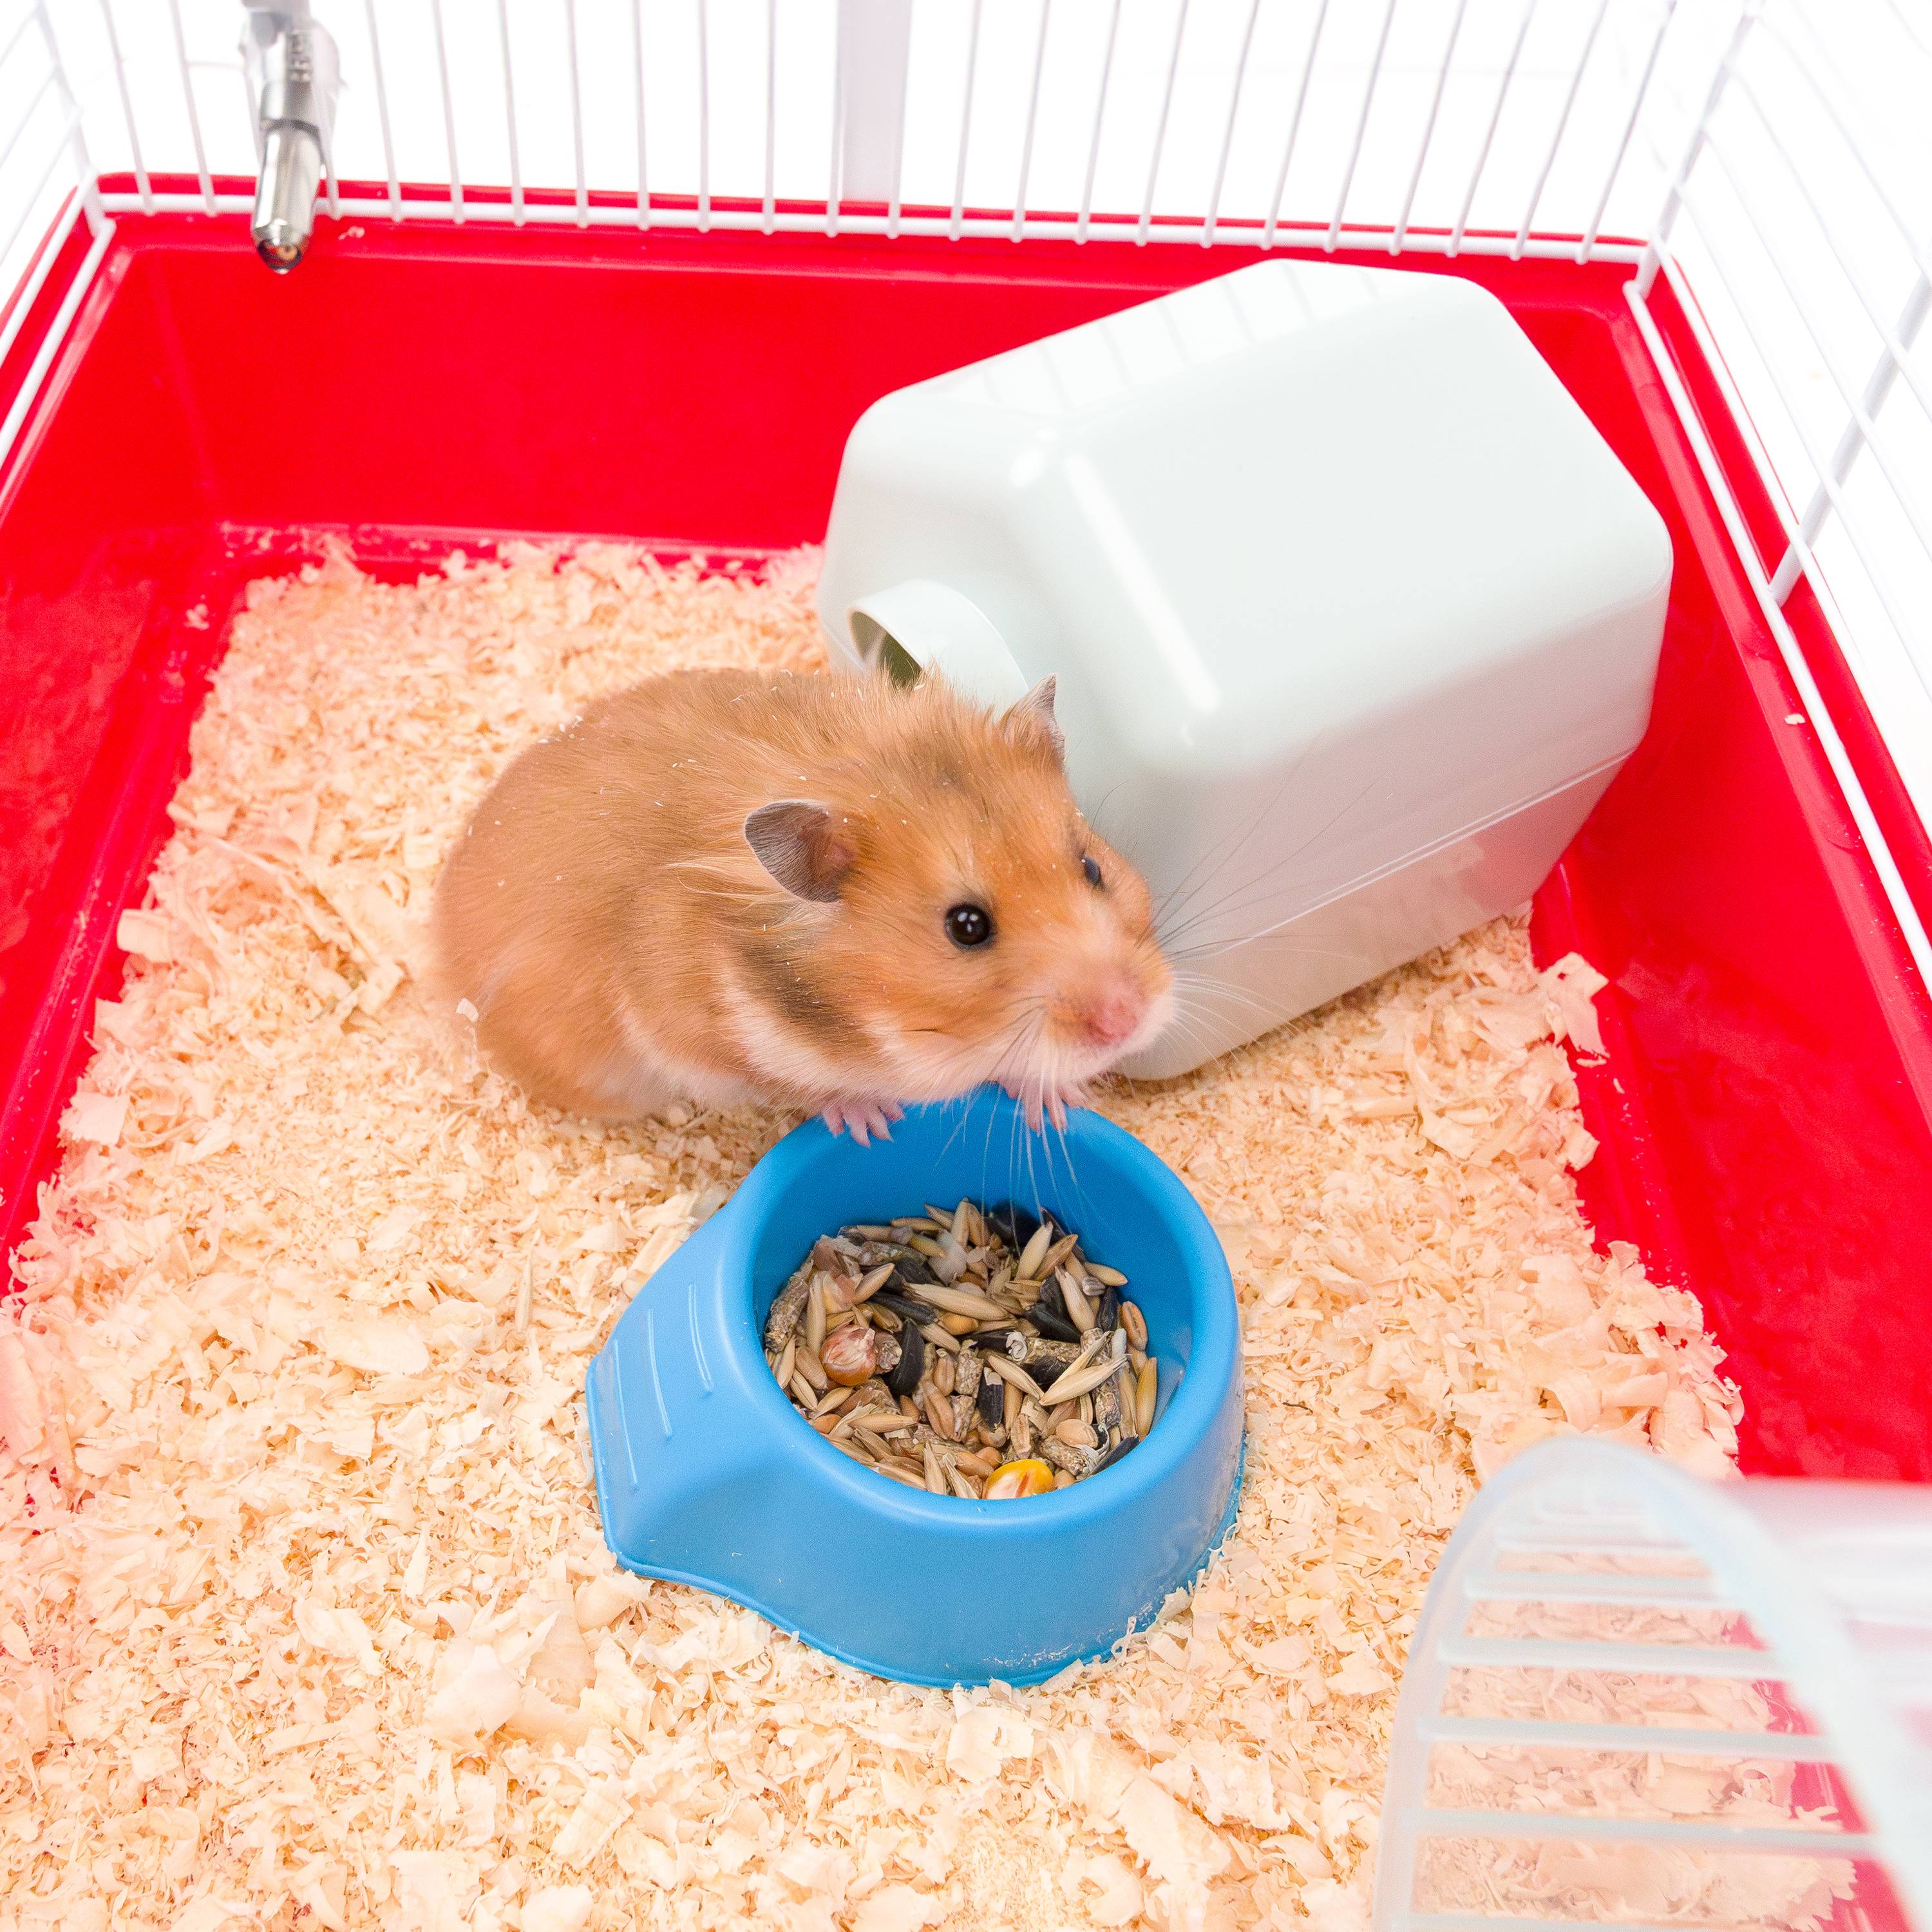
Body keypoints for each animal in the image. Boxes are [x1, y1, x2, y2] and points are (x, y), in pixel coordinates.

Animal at [430, 666, 1173, 1142]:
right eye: (966, 927)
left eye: (1091, 867)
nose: (1129, 1020)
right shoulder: (699, 1037)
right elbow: (799, 1085)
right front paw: (873, 1126)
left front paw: (1062, 1103)